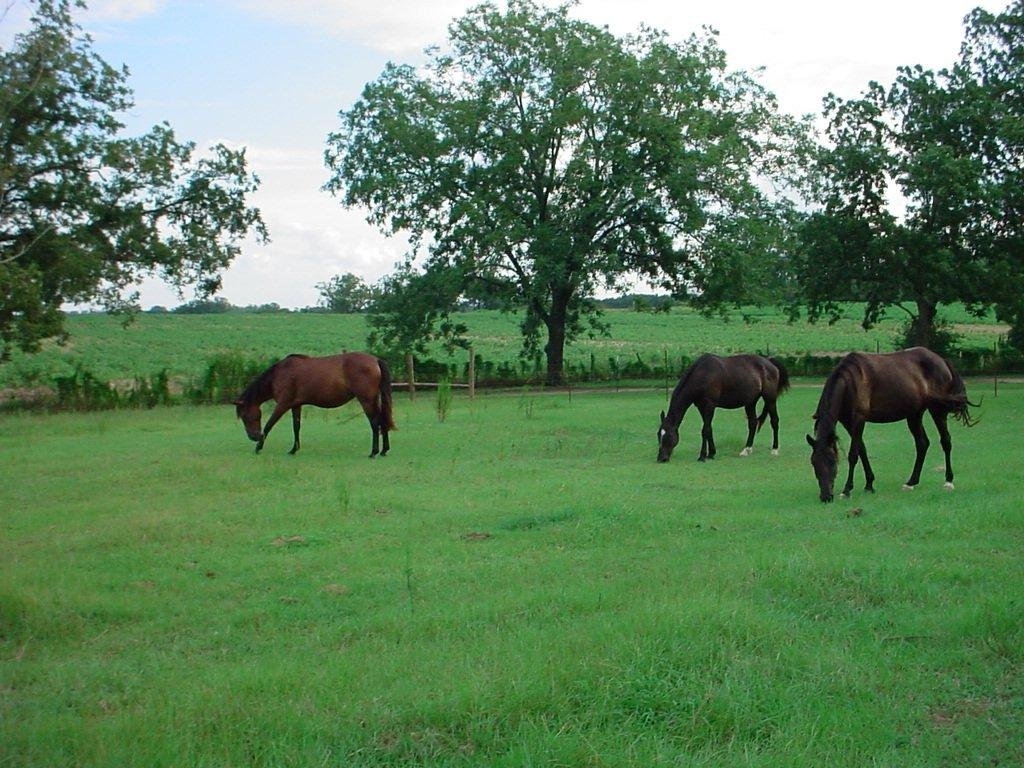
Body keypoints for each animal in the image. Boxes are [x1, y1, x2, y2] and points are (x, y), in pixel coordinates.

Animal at [233, 352, 395, 456]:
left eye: (245, 416)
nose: (253, 437)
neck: (279, 374)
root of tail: (375, 360)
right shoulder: (295, 405)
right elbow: (296, 426)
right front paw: (294, 449)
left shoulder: (283, 405)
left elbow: (269, 425)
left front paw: (258, 447)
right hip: (374, 400)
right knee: (382, 421)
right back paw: (384, 450)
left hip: (366, 400)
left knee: (375, 422)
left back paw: (373, 452)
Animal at [657, 354, 790, 463]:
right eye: (659, 434)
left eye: (668, 435)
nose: (661, 458)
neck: (703, 375)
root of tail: (770, 362)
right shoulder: (701, 407)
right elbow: (709, 429)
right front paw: (711, 453)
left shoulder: (709, 406)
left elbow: (705, 430)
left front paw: (702, 456)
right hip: (751, 402)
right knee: (753, 423)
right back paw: (746, 449)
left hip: (770, 399)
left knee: (774, 421)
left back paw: (774, 449)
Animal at [806, 347, 976, 502]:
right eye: (814, 463)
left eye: (832, 462)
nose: (826, 497)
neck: (849, 381)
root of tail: (942, 361)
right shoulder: (848, 422)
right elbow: (862, 450)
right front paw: (869, 484)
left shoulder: (859, 420)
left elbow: (853, 454)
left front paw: (847, 490)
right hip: (914, 415)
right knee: (922, 444)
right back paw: (911, 482)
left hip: (937, 410)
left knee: (946, 441)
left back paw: (948, 481)